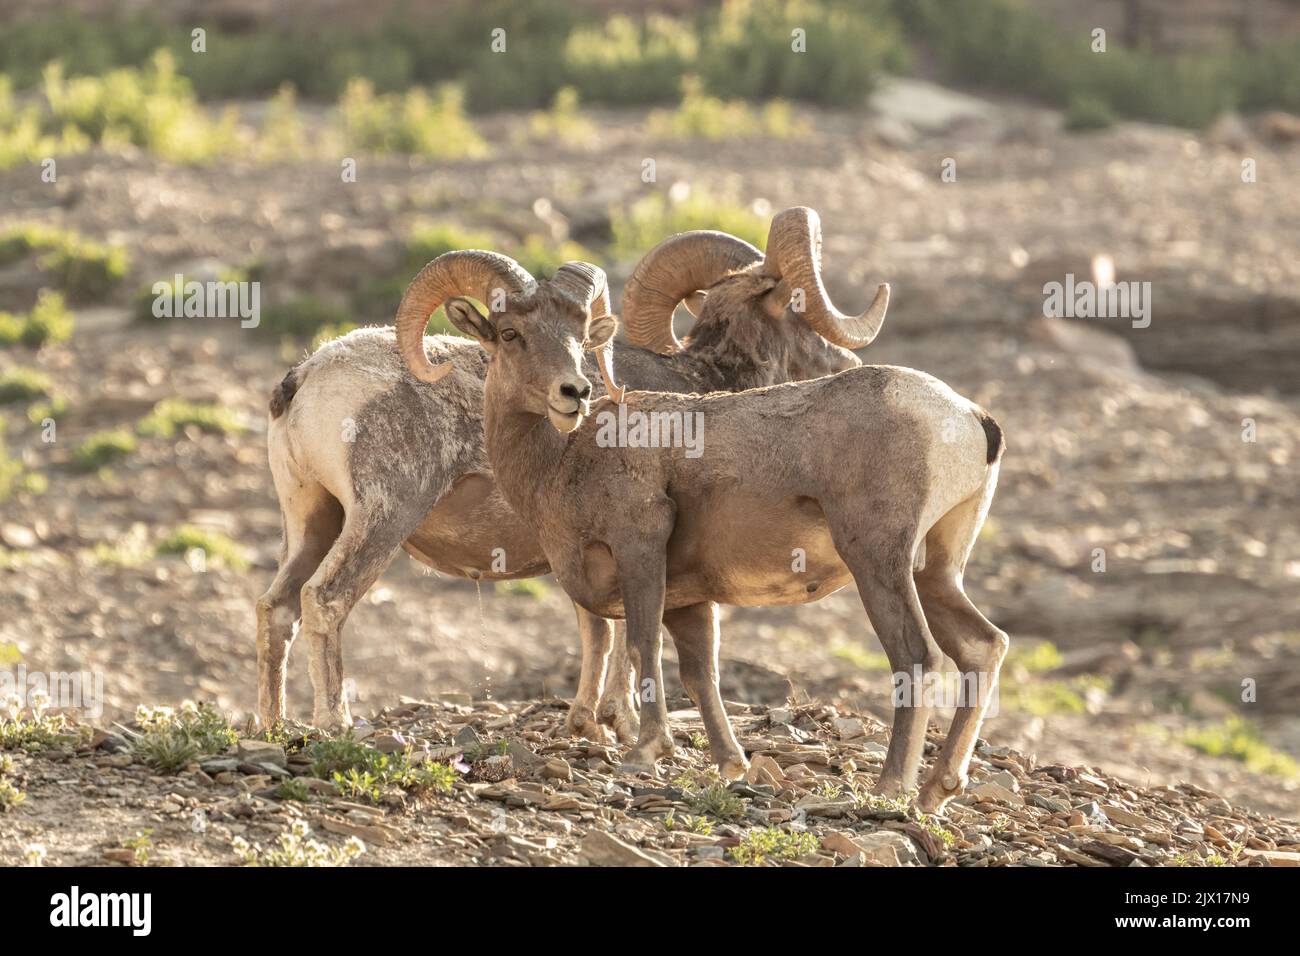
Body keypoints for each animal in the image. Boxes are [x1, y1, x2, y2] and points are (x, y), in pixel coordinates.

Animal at [257, 207, 890, 737]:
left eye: (581, 336)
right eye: (803, 308)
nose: (846, 361)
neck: (704, 382)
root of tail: (307, 378)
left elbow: (598, 630)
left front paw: (591, 722)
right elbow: (631, 631)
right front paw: (625, 724)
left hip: (312, 519)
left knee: (277, 608)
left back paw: (273, 726)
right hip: (383, 517)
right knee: (324, 601)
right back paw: (335, 724)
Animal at [407, 214, 1007, 812]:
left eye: (580, 339)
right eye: (511, 334)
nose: (573, 392)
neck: (563, 458)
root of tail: (967, 417)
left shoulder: (640, 550)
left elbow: (641, 646)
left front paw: (645, 752)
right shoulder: (689, 599)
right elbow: (700, 675)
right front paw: (731, 765)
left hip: (879, 562)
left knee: (916, 656)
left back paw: (891, 787)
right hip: (936, 570)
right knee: (983, 647)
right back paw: (936, 789)